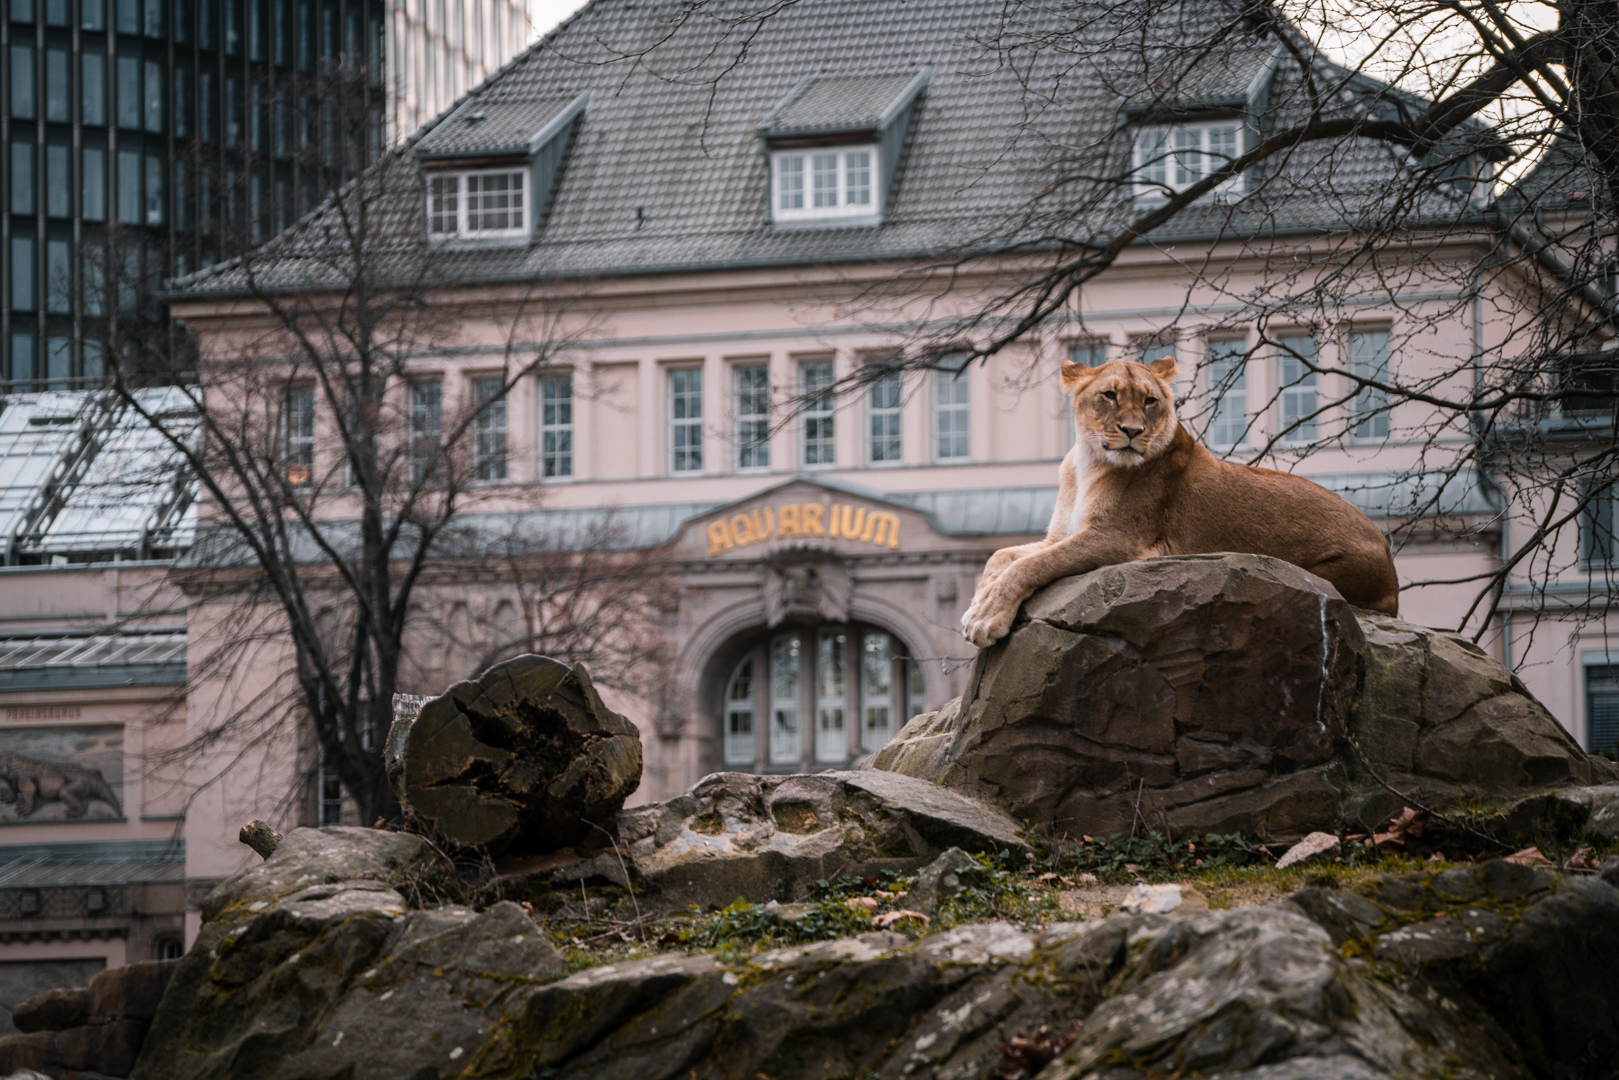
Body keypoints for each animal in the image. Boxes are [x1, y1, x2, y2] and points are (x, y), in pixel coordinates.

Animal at [960, 356, 1400, 647]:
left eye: (1149, 401)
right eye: (1109, 395)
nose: (1133, 431)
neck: (1088, 461)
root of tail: (1386, 548)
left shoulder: (1116, 539)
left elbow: (1030, 566)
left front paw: (984, 619)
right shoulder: (1060, 534)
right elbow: (1001, 557)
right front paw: (978, 602)